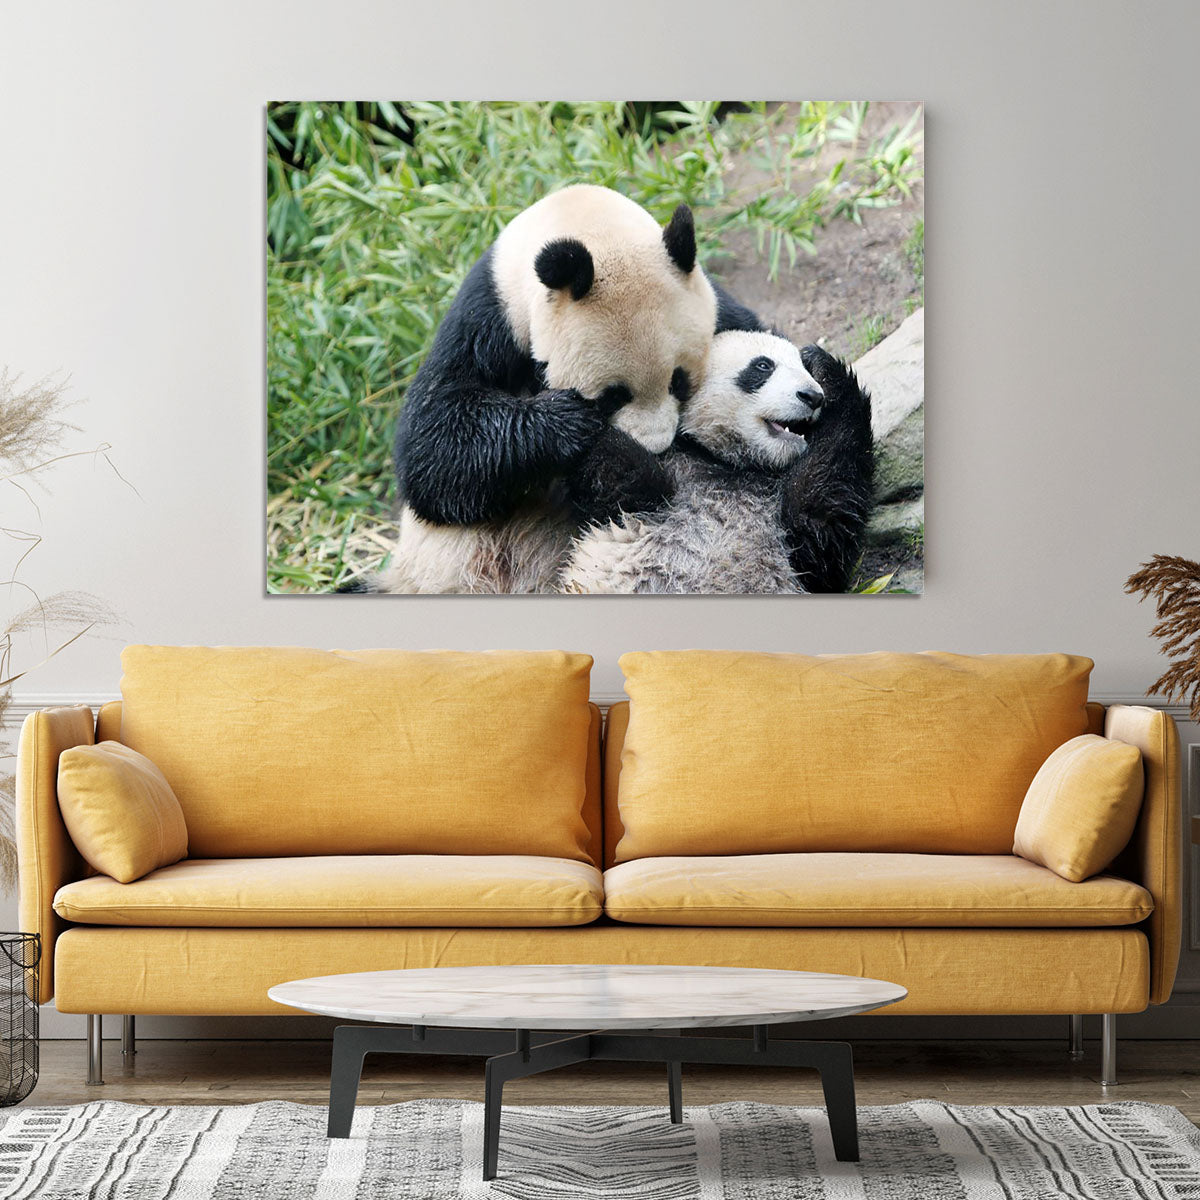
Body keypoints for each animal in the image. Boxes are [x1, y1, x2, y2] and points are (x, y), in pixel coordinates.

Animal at [372, 184, 759, 594]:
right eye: (613, 396)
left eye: (679, 380)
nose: (657, 447)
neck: (583, 220)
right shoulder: (488, 318)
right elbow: (434, 444)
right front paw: (567, 423)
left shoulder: (716, 303)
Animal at [558, 333, 875, 594]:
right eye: (763, 366)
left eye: (805, 371)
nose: (812, 396)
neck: (733, 464)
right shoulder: (673, 474)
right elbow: (622, 475)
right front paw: (567, 419)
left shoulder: (793, 540)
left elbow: (822, 521)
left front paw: (825, 366)